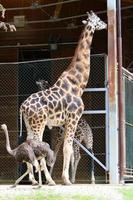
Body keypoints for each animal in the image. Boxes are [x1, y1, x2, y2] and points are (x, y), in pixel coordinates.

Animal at [20, 11, 107, 185]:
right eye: (99, 20)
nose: (106, 24)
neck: (78, 84)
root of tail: (23, 107)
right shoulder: (73, 118)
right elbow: (67, 149)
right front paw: (66, 180)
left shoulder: (66, 123)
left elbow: (66, 150)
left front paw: (66, 178)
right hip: (39, 123)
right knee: (38, 147)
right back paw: (49, 181)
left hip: (29, 124)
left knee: (29, 145)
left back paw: (34, 180)